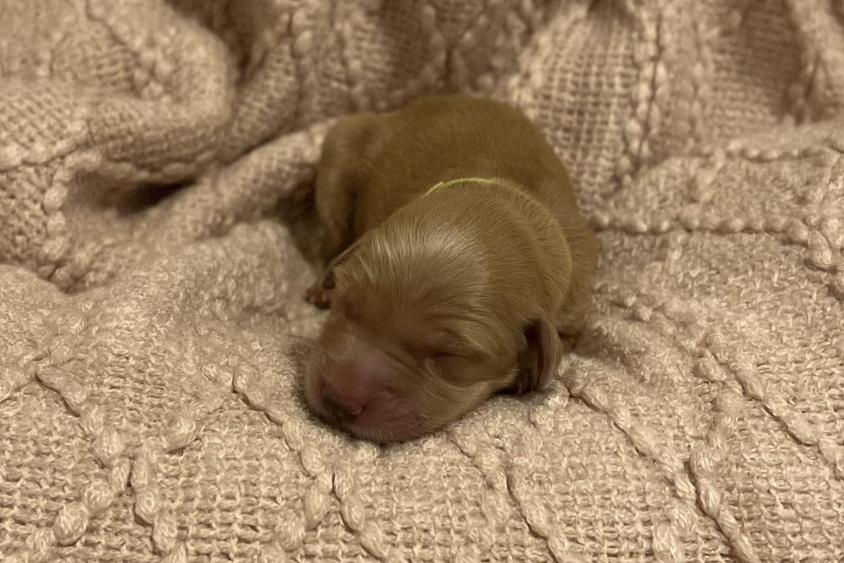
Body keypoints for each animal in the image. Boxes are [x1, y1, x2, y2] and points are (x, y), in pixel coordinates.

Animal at [302, 94, 592, 442]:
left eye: (448, 355)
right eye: (346, 307)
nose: (338, 400)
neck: (501, 199)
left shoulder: (575, 308)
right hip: (341, 149)